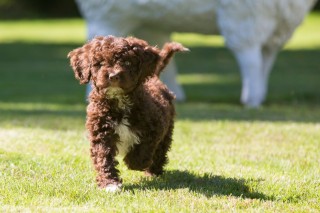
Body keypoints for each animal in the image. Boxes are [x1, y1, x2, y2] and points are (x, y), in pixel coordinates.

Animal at [67, 35, 188, 192]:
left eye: (128, 62)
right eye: (100, 63)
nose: (113, 76)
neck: (119, 101)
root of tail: (155, 77)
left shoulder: (155, 128)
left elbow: (143, 150)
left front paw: (133, 162)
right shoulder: (101, 132)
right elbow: (103, 157)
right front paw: (109, 183)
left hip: (167, 131)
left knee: (160, 153)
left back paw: (152, 172)